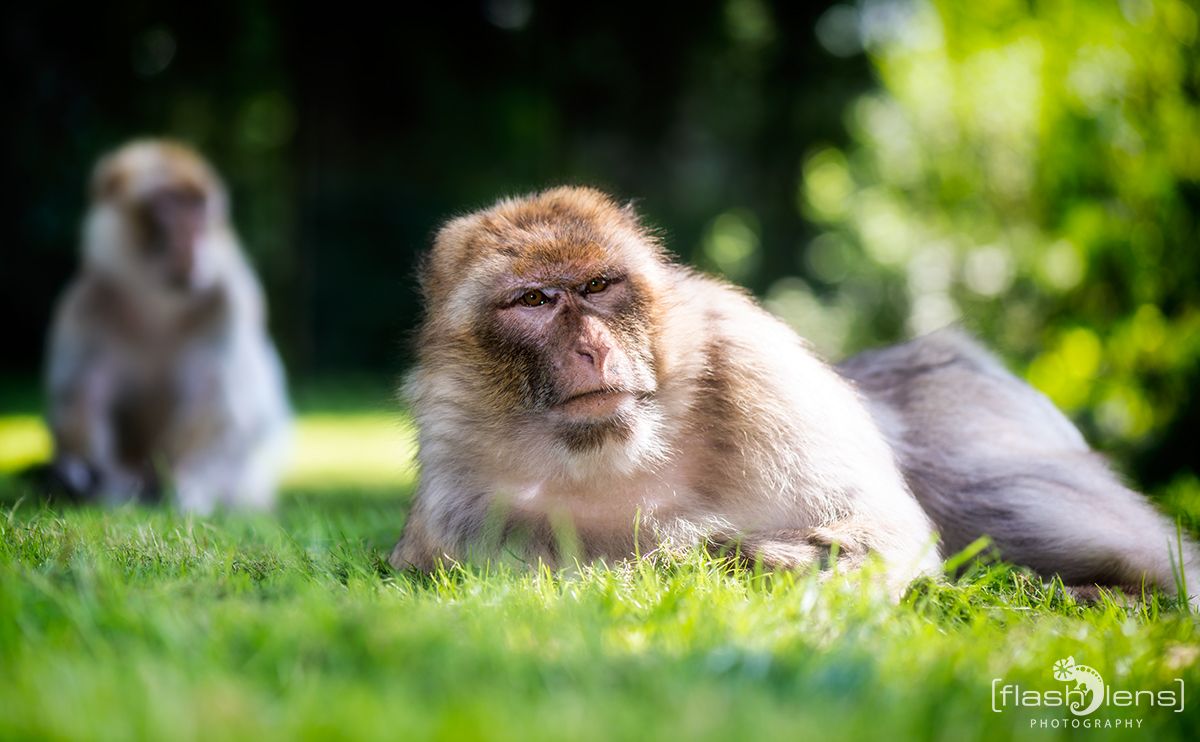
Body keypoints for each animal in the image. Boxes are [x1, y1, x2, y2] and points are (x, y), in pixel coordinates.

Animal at [43, 137, 290, 509]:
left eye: (199, 207)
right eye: (169, 204)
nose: (192, 236)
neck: (157, 305)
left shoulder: (229, 300)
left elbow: (217, 399)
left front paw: (183, 483)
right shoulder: (86, 302)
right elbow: (82, 396)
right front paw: (86, 478)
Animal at [391, 186, 1200, 607]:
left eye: (597, 286)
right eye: (532, 300)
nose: (592, 347)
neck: (615, 455)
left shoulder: (758, 370)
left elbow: (885, 527)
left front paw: (731, 553)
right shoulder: (462, 511)